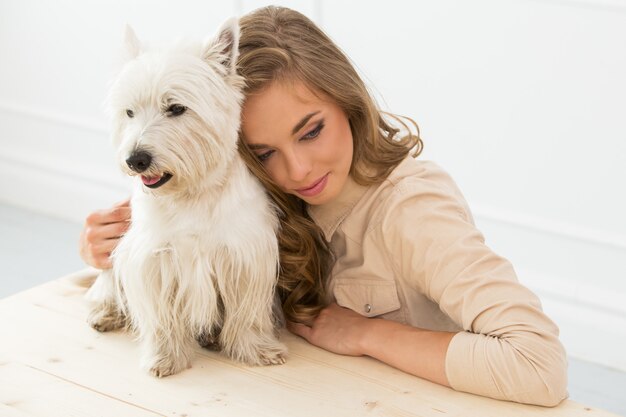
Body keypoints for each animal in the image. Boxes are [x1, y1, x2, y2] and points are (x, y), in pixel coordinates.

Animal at [85, 18, 286, 376]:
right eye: (129, 112)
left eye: (176, 108)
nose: (135, 160)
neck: (192, 192)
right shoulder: (153, 257)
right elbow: (161, 316)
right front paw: (164, 358)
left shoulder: (246, 255)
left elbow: (247, 312)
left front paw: (257, 350)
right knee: (107, 285)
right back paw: (106, 314)